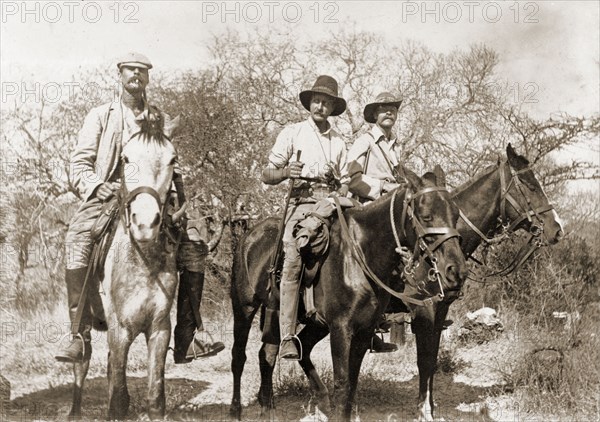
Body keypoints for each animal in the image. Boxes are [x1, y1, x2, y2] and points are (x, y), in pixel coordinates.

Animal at [69, 110, 179, 420]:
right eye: (126, 159)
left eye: (173, 159)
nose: (146, 224)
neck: (143, 260)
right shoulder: (120, 330)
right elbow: (118, 398)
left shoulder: (159, 328)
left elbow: (155, 397)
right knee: (82, 362)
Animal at [227, 165, 466, 418]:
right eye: (427, 216)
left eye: (456, 215)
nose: (456, 271)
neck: (359, 255)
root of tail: (248, 236)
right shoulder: (341, 329)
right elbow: (342, 385)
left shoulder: (364, 329)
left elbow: (352, 384)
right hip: (244, 308)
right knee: (239, 356)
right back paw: (235, 410)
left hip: (293, 318)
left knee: (273, 353)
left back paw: (277, 406)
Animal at [408, 143, 564, 420]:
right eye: (530, 186)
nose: (557, 229)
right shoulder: (423, 310)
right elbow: (423, 360)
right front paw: (423, 411)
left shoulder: (440, 311)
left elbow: (432, 360)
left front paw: (431, 408)